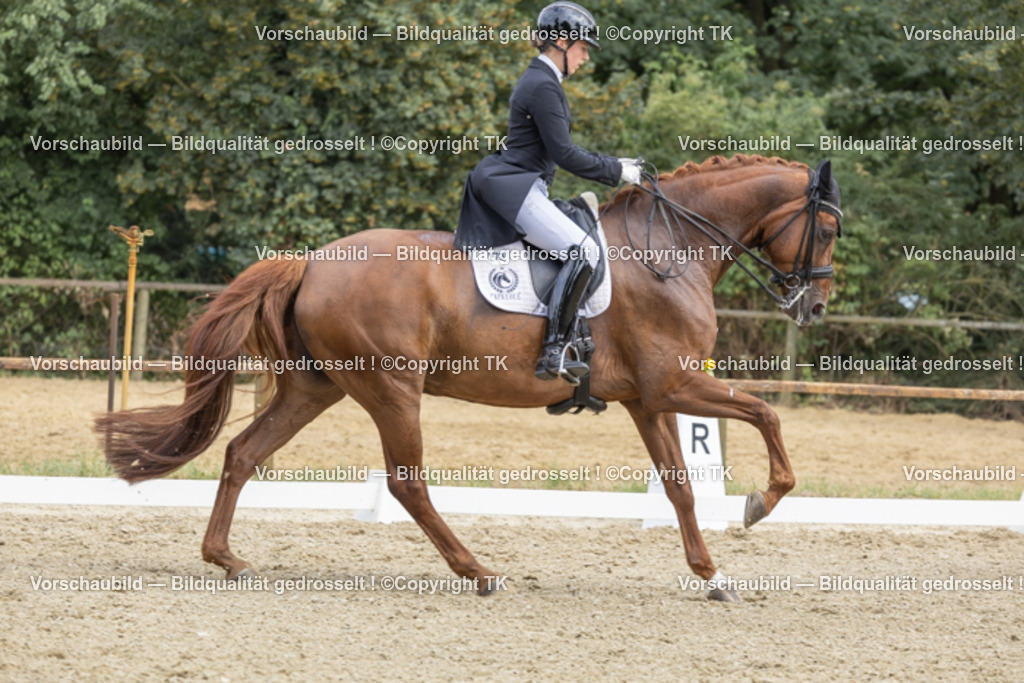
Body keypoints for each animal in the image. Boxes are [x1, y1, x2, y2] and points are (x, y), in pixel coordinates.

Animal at [95, 154, 843, 602]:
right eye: (830, 229)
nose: (813, 306)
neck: (669, 249)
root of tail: (311, 260)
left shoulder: (647, 398)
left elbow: (682, 486)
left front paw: (712, 576)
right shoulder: (674, 385)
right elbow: (767, 415)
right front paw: (760, 502)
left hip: (318, 386)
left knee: (242, 453)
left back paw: (228, 558)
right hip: (391, 389)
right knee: (406, 483)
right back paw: (477, 571)